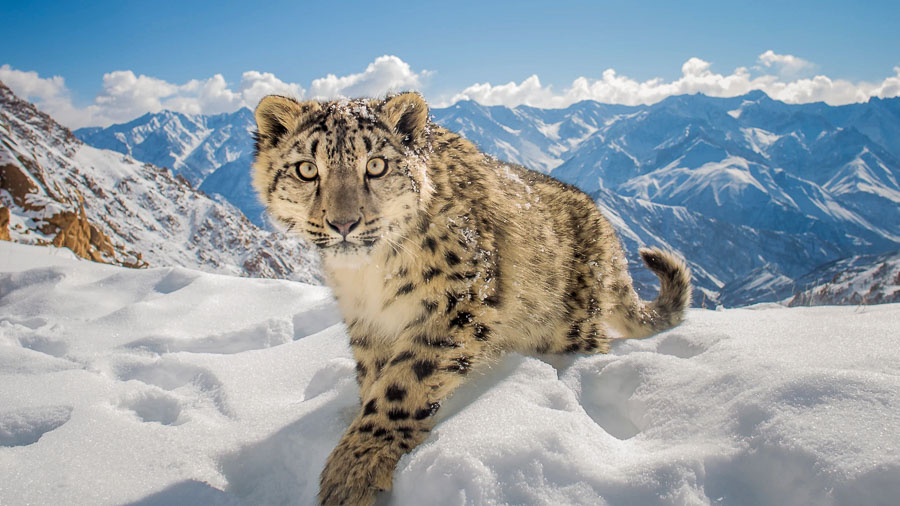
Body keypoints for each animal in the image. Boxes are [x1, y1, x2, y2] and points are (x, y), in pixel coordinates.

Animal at [250, 92, 692, 506]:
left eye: (376, 165)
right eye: (307, 169)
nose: (343, 223)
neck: (371, 279)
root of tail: (607, 230)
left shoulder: (456, 300)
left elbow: (405, 382)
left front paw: (353, 468)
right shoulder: (366, 324)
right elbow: (375, 377)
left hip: (564, 323)